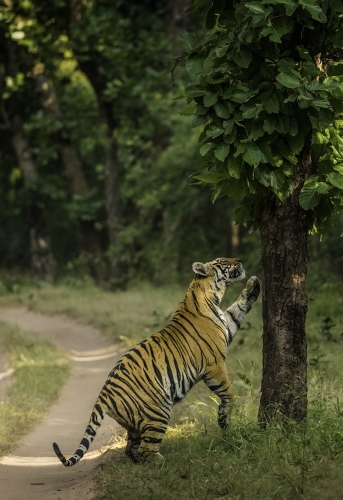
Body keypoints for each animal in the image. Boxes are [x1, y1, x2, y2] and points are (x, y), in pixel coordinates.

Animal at [52, 258, 260, 464]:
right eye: (223, 261)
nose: (239, 260)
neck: (209, 295)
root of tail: (104, 396)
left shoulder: (227, 326)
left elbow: (237, 310)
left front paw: (254, 284)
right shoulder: (214, 364)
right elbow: (229, 392)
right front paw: (225, 420)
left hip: (135, 422)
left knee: (131, 448)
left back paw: (139, 459)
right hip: (159, 411)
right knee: (147, 449)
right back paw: (167, 461)